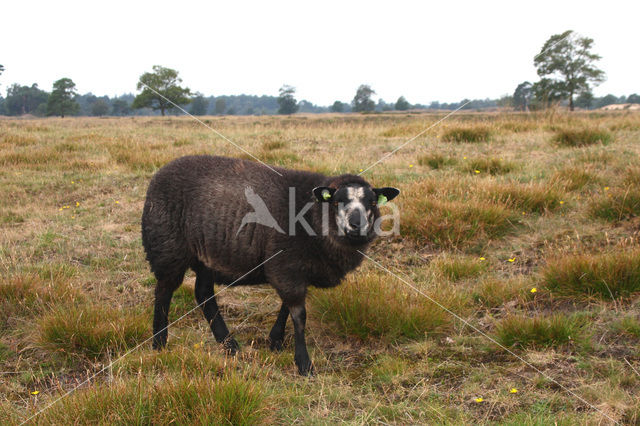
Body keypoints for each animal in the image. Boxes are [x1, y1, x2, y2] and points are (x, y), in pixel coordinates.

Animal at [142, 155, 398, 374]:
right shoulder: (286, 266)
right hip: (167, 248)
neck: (312, 215)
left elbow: (286, 307)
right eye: (336, 202)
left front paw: (275, 341)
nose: (357, 225)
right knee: (164, 292)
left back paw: (229, 345)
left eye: (372, 202)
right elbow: (299, 315)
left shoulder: (293, 268)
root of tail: (159, 173)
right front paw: (304, 364)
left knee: (203, 294)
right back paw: (159, 342)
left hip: (205, 255)